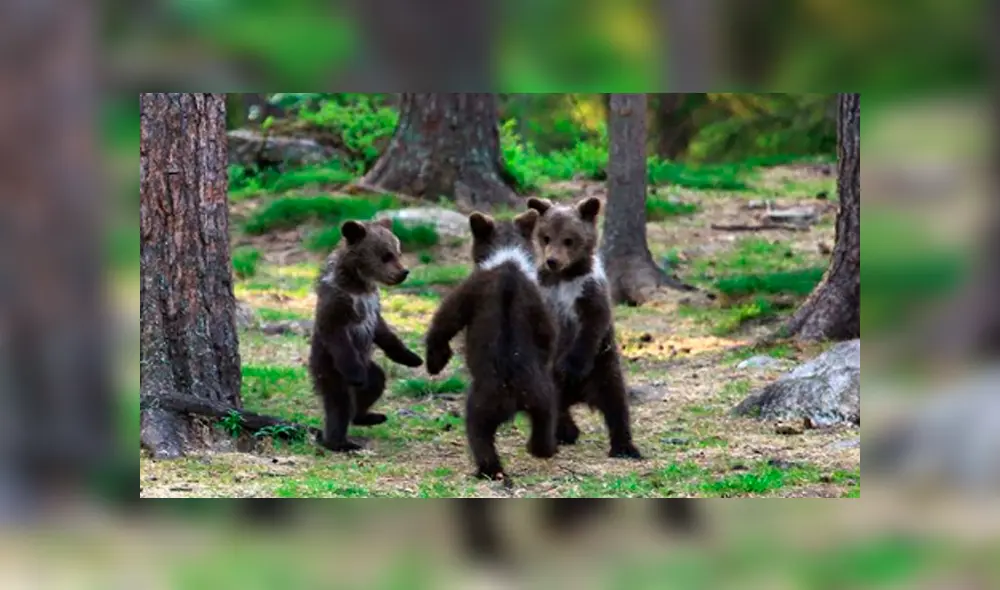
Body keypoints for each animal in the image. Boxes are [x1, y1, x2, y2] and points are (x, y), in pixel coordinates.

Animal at [309, 218, 423, 453]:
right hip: (330, 369)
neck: (359, 284)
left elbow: (384, 333)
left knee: (376, 382)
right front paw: (356, 375)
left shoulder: (372, 306)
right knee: (339, 402)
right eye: (386, 255)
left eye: (399, 251)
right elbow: (337, 335)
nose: (404, 272)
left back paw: (368, 416)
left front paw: (412, 358)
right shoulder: (338, 306)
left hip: (368, 366)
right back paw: (340, 442)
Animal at [424, 210, 558, 480]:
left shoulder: (470, 290)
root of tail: (513, 394)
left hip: (482, 401)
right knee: (546, 418)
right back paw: (541, 448)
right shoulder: (538, 304)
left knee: (479, 433)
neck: (507, 259)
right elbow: (548, 335)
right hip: (542, 392)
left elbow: (445, 320)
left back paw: (489, 469)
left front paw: (435, 360)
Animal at [526, 196, 642, 459]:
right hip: (549, 381)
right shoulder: (544, 293)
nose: (552, 261)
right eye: (546, 237)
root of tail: (579, 396)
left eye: (569, 239)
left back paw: (624, 446)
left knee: (616, 402)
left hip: (602, 367)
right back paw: (564, 432)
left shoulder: (589, 291)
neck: (565, 277)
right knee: (553, 406)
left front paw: (570, 367)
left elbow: (591, 325)